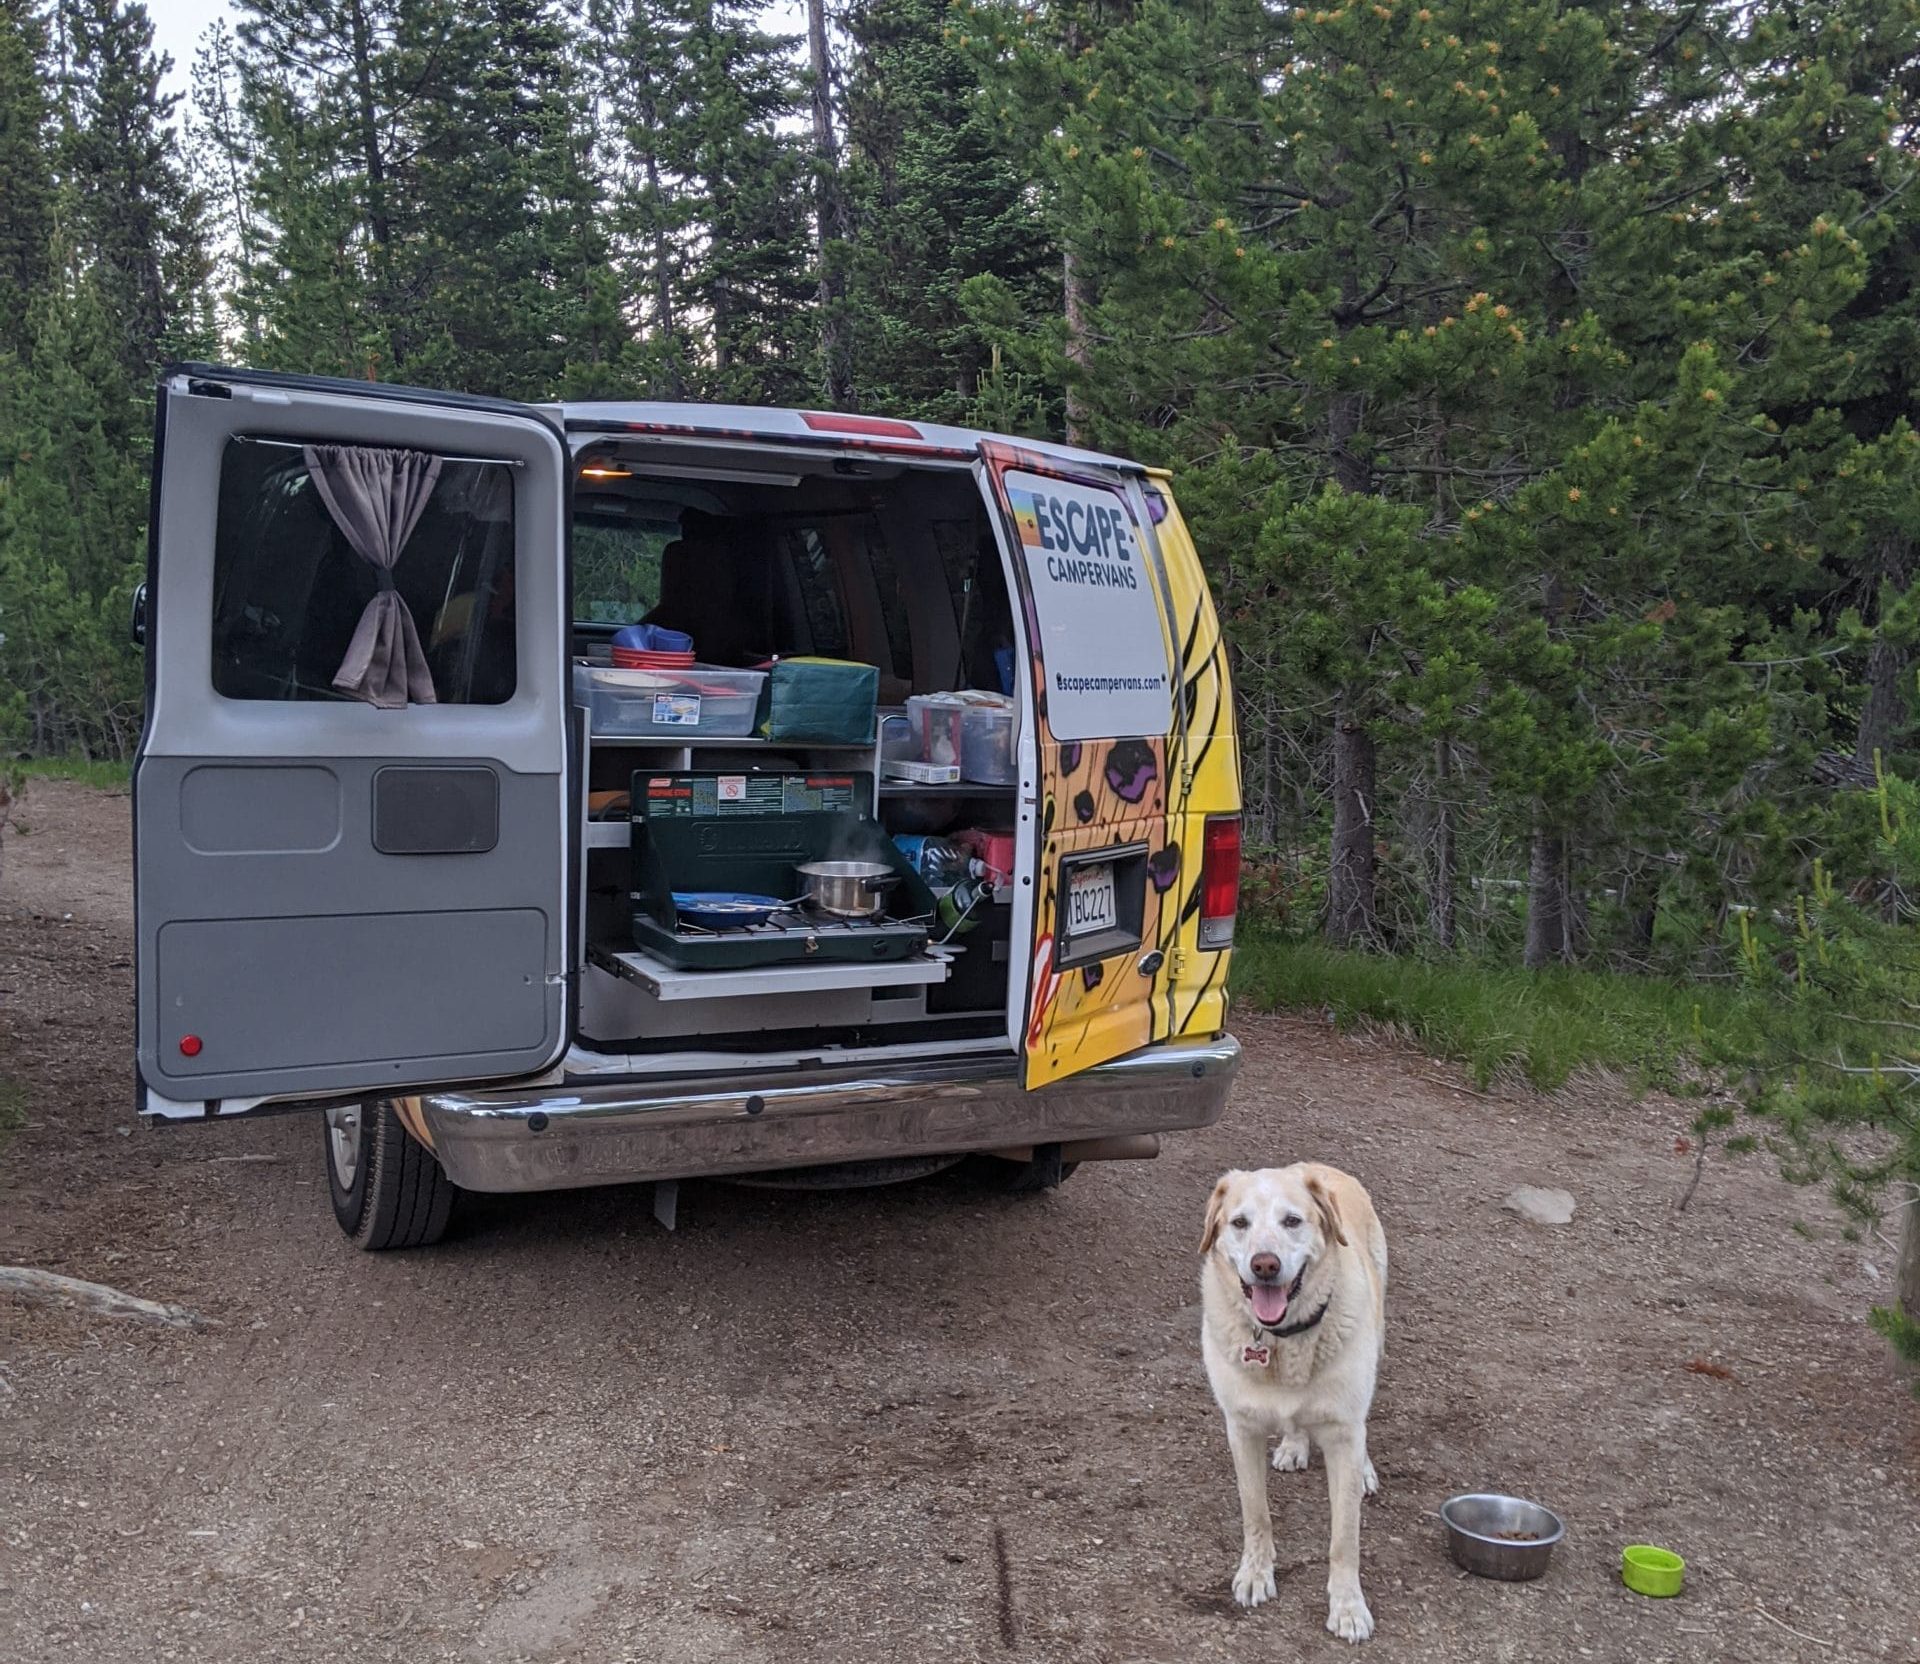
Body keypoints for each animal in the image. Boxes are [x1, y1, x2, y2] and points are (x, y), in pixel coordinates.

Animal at [1190, 1166, 1390, 1642]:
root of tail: (1319, 1166)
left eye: (1293, 1221)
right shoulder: (1241, 1428)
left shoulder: (1342, 1434)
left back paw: (1364, 1468)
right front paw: (1255, 1574)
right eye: (1239, 1223)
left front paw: (1348, 1607)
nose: (1265, 1265)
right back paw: (1293, 1445)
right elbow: (1255, 1514)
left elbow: (1344, 1538)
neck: (1283, 1340)